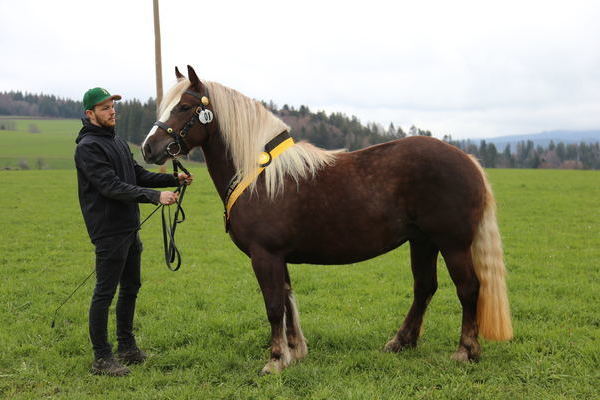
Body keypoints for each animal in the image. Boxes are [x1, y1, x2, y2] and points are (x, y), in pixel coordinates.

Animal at [141, 65, 510, 376]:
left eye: (184, 107)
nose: (148, 149)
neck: (259, 175)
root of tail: (468, 160)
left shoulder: (265, 255)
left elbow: (274, 305)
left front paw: (275, 360)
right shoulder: (279, 257)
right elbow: (288, 300)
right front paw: (295, 352)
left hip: (452, 243)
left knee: (468, 288)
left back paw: (465, 350)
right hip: (423, 241)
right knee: (425, 287)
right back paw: (401, 342)